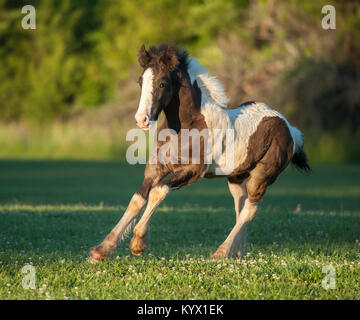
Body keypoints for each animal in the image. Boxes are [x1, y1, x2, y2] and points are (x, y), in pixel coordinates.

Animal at [88, 43, 310, 262]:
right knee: (241, 205)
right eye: (140, 81)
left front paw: (137, 242)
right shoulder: (156, 167)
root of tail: (290, 129)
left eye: (162, 83)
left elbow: (158, 191)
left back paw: (221, 252)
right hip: (236, 177)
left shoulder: (194, 171)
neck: (186, 127)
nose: (141, 119)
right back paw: (236, 253)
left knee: (250, 208)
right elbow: (138, 199)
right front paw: (101, 250)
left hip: (261, 176)